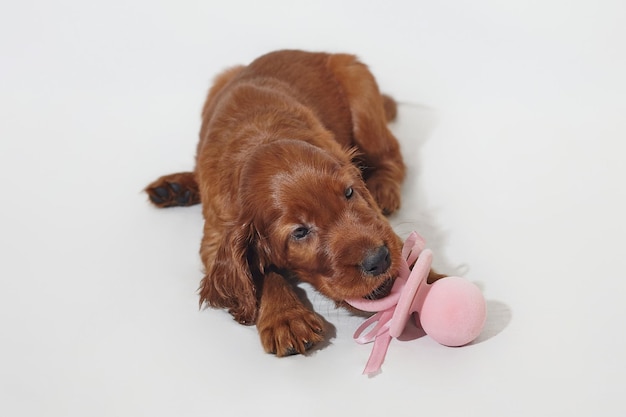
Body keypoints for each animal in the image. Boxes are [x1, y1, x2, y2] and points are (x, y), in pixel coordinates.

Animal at [147, 48, 410, 354]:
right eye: (300, 232)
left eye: (349, 193)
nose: (379, 259)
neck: (261, 138)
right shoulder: (215, 235)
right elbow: (261, 274)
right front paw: (287, 317)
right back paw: (177, 187)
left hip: (360, 87)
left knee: (391, 155)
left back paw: (383, 189)